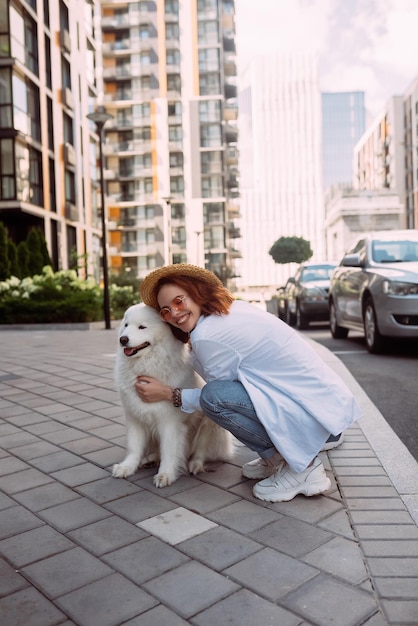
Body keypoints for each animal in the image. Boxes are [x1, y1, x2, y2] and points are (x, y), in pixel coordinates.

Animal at [112, 300, 233, 486]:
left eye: (142, 327)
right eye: (126, 325)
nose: (123, 339)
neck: (147, 366)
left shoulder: (170, 423)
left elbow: (169, 451)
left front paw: (165, 474)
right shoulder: (135, 417)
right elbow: (134, 446)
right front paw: (127, 467)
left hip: (210, 425)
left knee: (201, 452)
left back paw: (195, 465)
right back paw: (150, 459)